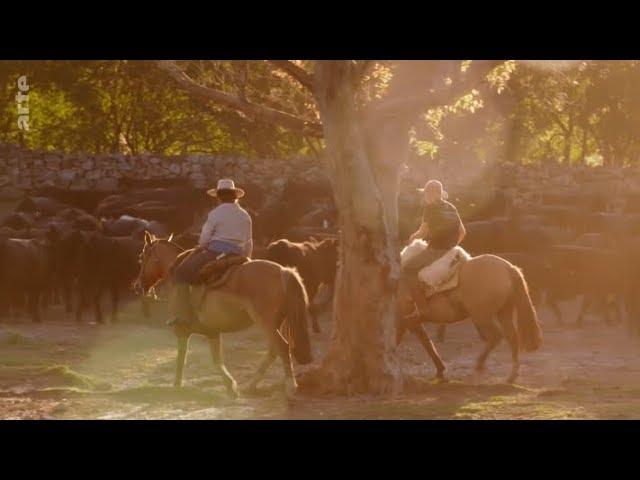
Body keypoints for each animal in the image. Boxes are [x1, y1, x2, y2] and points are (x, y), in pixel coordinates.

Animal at [134, 232, 314, 398]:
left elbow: (182, 358)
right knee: (273, 350)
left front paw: (177, 386)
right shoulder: (212, 332)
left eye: (142, 257)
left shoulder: (181, 330)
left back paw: (290, 386)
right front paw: (231, 387)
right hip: (276, 324)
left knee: (282, 347)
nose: (137, 286)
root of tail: (283, 271)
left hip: (267, 324)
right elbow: (217, 360)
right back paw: (251, 385)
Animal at [398, 242, 544, 384]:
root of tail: (509, 268)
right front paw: (440, 370)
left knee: (496, 336)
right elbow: (425, 342)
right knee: (512, 338)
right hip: (503, 313)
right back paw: (511, 376)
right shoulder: (410, 322)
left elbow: (413, 341)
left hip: (481, 317)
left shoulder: (406, 321)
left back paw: (480, 364)